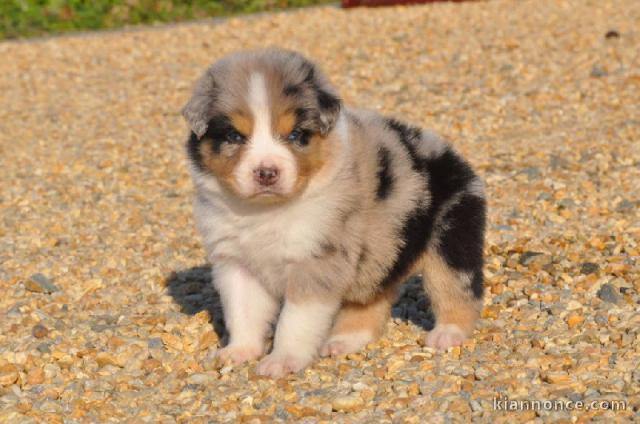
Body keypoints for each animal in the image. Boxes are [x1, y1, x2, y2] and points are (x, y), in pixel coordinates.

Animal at [182, 48, 488, 378]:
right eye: (234, 136)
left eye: (297, 135)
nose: (266, 173)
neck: (265, 212)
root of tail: (448, 150)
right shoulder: (236, 263)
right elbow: (243, 313)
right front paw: (239, 351)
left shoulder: (316, 261)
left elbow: (294, 321)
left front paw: (282, 360)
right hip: (380, 251)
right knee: (371, 300)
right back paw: (345, 340)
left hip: (451, 240)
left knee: (456, 291)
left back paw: (447, 334)